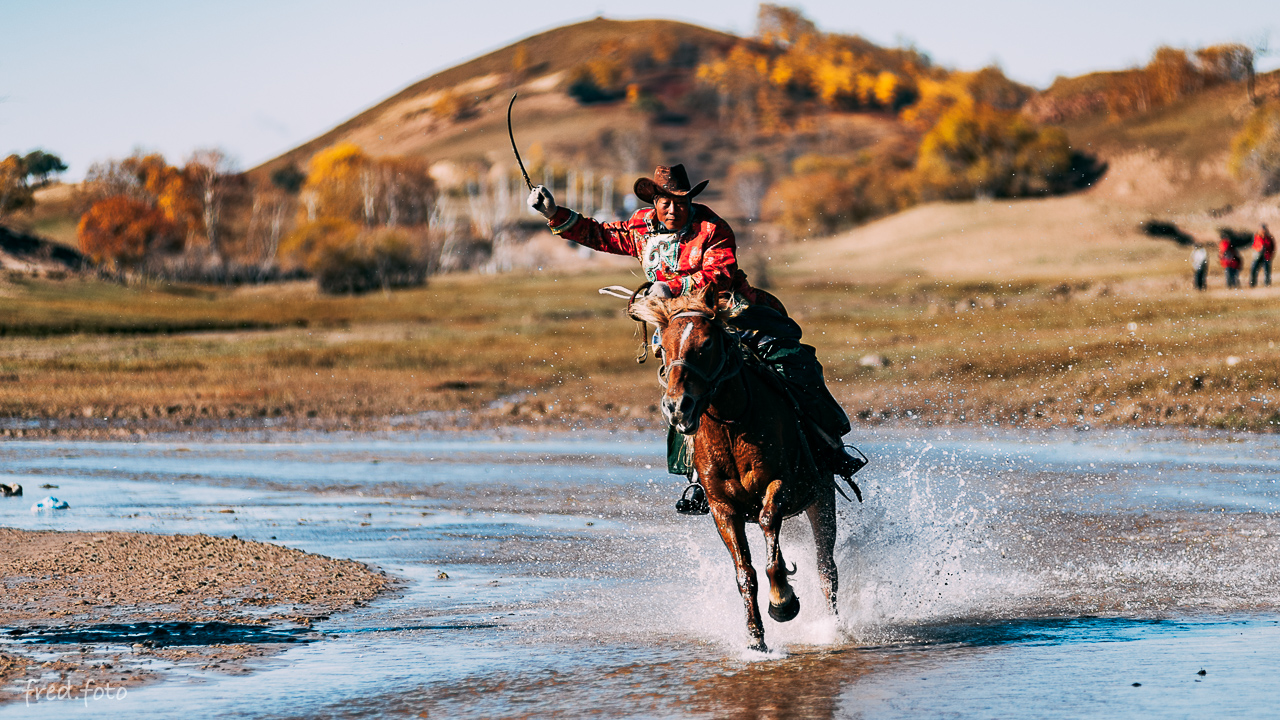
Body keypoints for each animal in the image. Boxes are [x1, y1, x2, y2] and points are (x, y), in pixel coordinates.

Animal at [629, 285, 839, 650]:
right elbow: (745, 573)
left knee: (826, 568)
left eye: (706, 344)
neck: (731, 427)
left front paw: (782, 601)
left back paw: (832, 627)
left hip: (821, 497)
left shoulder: (779, 485)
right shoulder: (722, 508)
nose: (677, 406)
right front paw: (756, 639)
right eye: (663, 347)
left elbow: (769, 530)